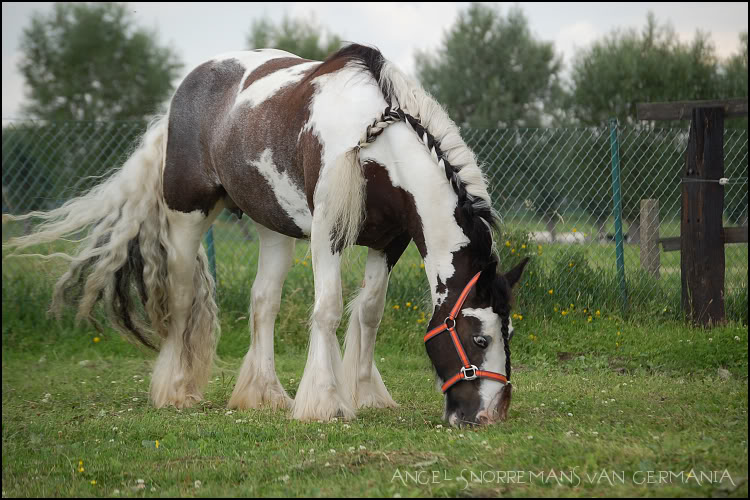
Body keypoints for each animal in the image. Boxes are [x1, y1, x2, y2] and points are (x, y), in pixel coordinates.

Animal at [8, 44, 532, 426]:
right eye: (480, 338)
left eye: (509, 332)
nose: (491, 415)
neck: (374, 143)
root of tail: (177, 105)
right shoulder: (327, 232)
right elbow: (328, 309)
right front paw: (324, 401)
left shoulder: (388, 242)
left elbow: (368, 314)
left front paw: (364, 394)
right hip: (187, 218)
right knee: (181, 299)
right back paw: (176, 390)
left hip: (274, 230)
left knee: (263, 303)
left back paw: (262, 393)